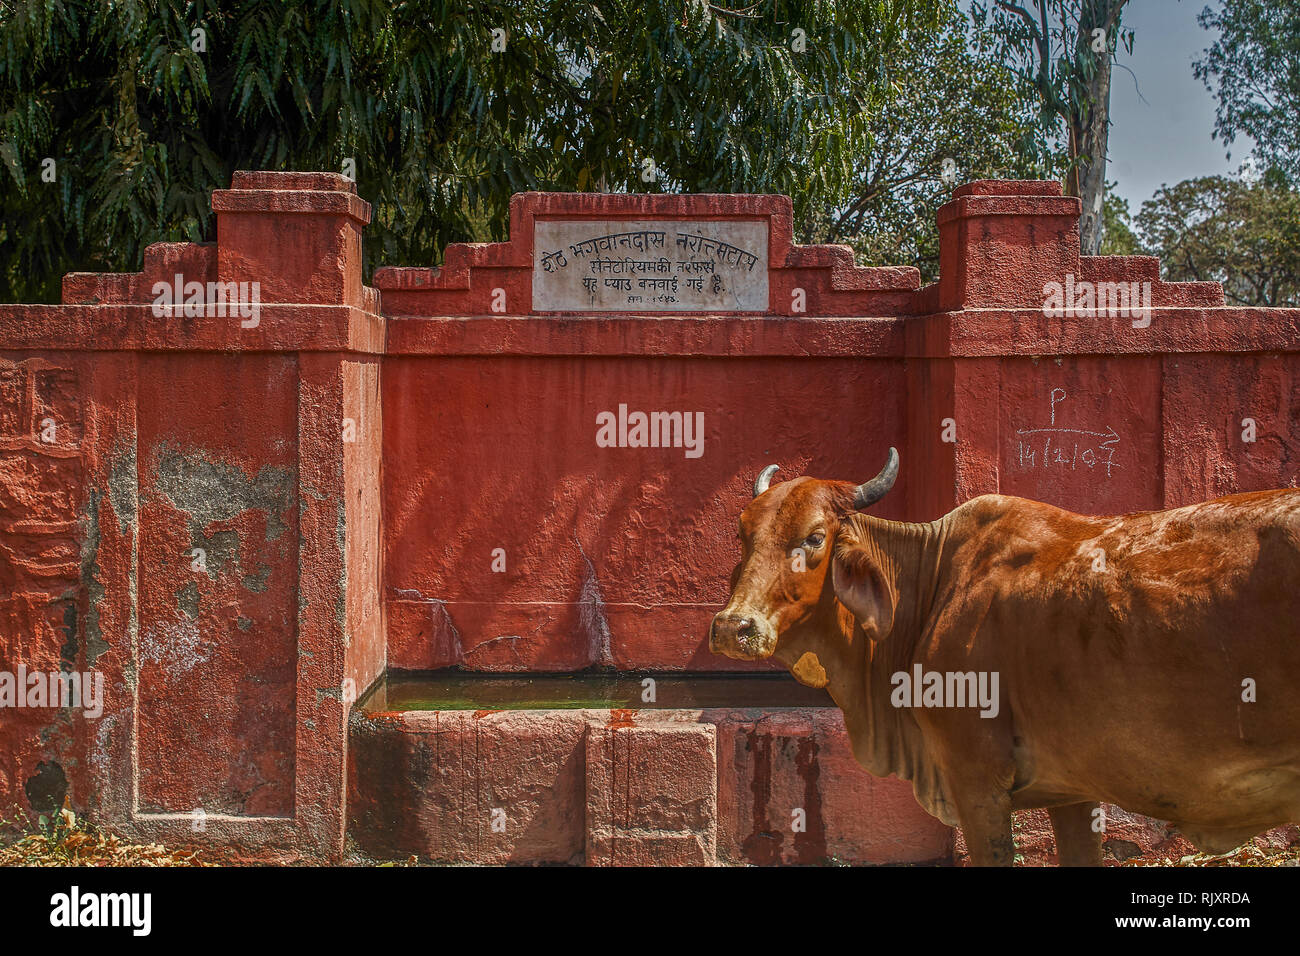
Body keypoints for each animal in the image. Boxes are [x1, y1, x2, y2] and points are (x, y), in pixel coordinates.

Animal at [710, 448, 1300, 865]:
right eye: (742, 533)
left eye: (814, 538)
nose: (733, 626)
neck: (932, 582)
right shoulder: (1074, 790)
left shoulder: (976, 778)